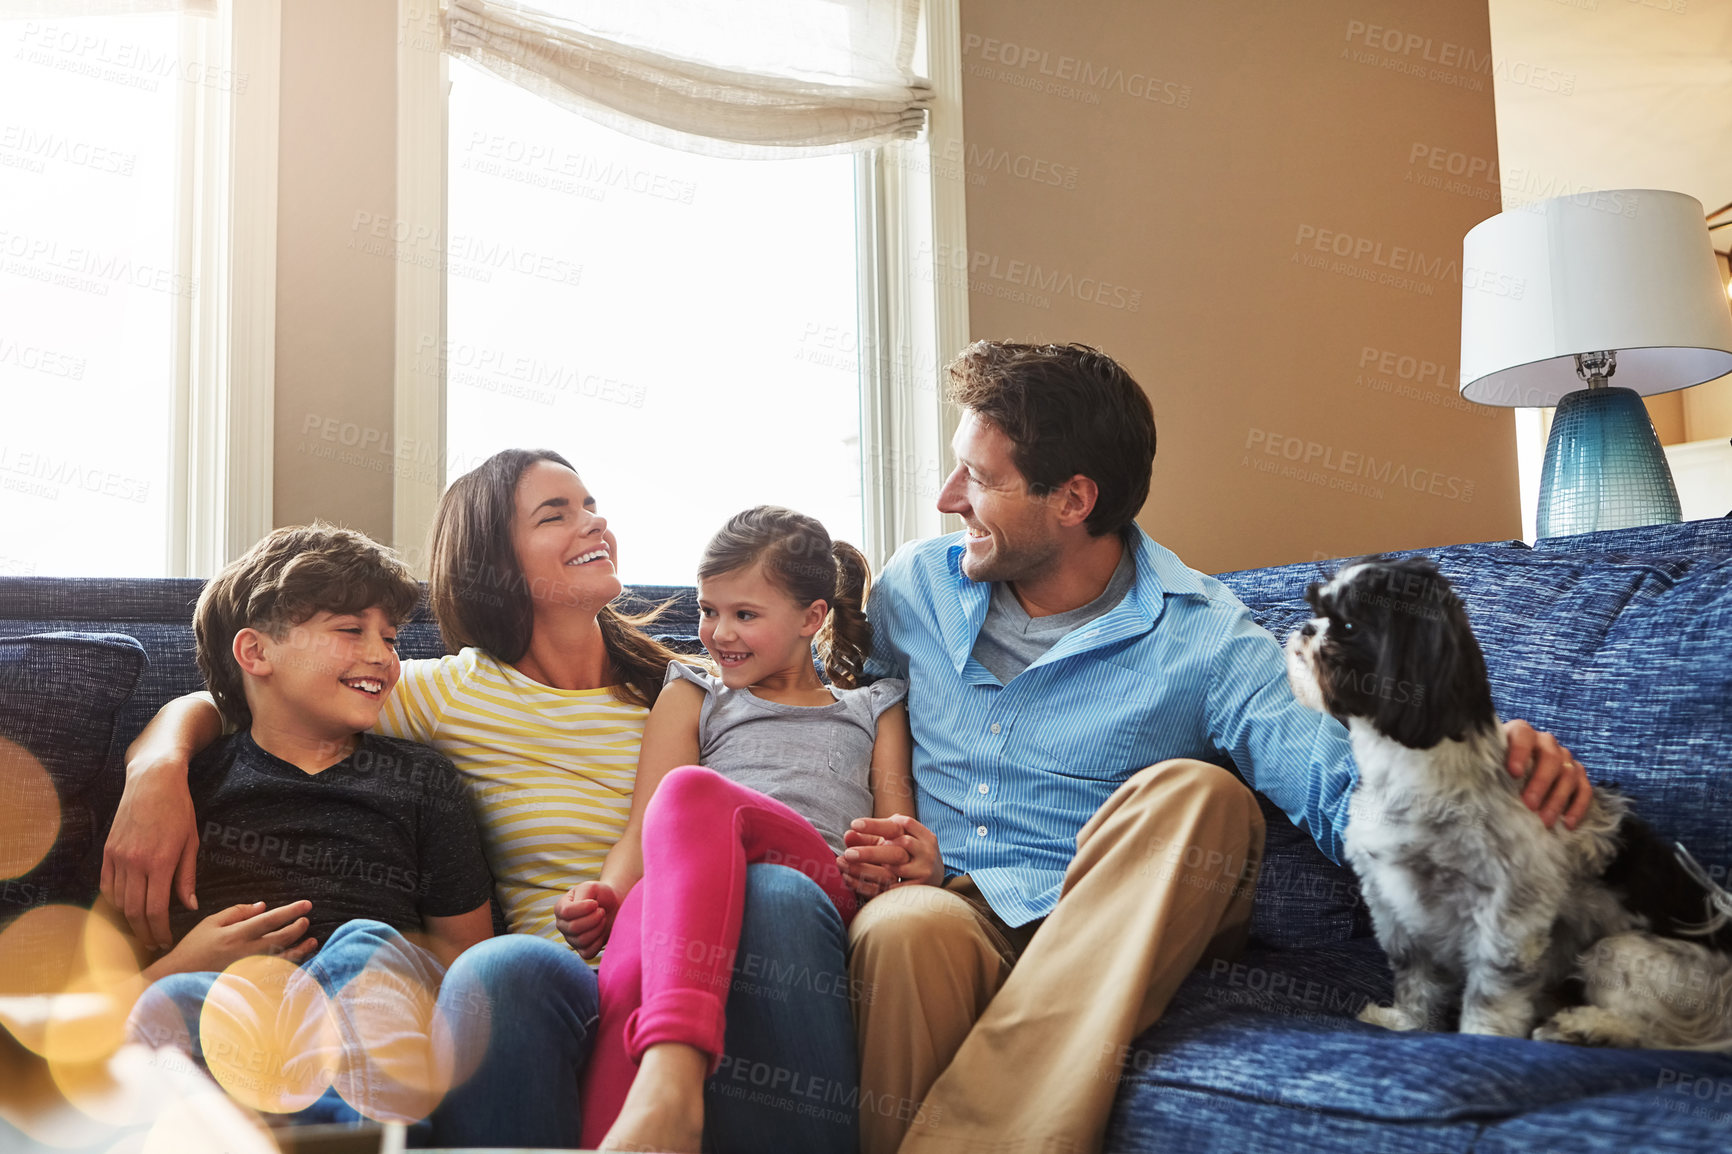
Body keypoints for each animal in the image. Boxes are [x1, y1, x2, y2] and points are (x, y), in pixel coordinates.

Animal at [1281, 554, 1725, 1046]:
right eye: (1317, 609)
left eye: (1347, 625)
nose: (1306, 627)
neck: (1407, 772)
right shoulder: (1396, 903)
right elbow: (1415, 978)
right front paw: (1408, 1022)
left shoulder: (1510, 915)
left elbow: (1493, 993)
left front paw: (1479, 1037)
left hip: (1623, 954)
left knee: (1663, 1035)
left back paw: (1587, 1028)